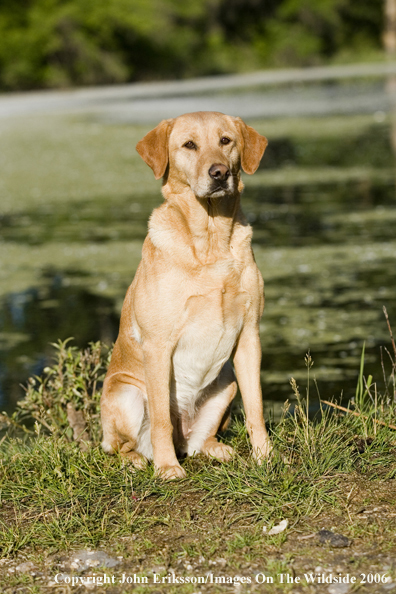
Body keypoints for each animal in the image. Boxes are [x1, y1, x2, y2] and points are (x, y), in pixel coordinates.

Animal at [100, 111, 270, 478]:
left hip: (226, 383)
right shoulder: (158, 345)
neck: (211, 239)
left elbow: (256, 408)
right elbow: (162, 420)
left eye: (225, 141)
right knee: (121, 446)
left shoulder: (249, 337)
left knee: (198, 442)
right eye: (189, 145)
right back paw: (140, 460)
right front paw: (166, 468)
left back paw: (217, 449)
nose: (219, 173)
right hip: (126, 394)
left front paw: (266, 456)